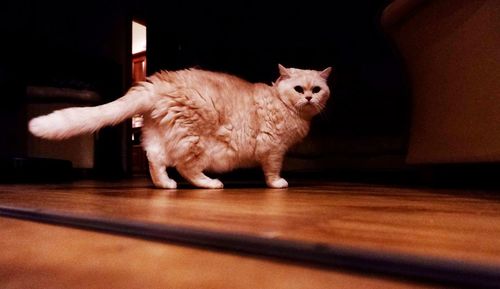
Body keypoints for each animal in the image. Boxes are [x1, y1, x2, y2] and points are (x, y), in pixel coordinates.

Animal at [28, 63, 332, 188]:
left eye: (317, 89)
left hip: (159, 136)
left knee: (155, 161)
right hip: (196, 143)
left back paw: (165, 185)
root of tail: (159, 83)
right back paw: (210, 184)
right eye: (299, 88)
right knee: (187, 168)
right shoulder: (273, 150)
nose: (308, 97)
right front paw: (277, 184)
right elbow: (272, 171)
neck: (284, 105)